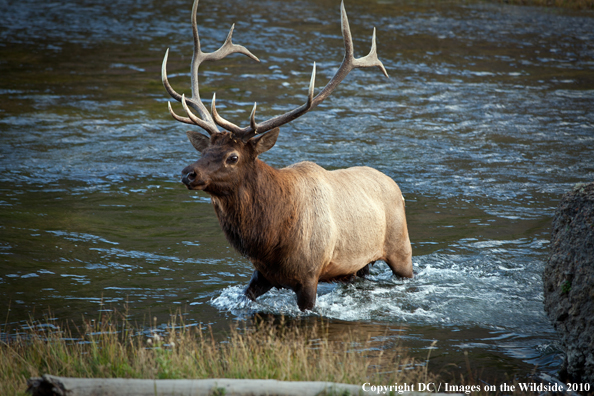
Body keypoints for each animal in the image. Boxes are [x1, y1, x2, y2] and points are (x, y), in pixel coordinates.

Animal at [162, 0, 412, 310]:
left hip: (401, 248)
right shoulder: (262, 274)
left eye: (233, 157)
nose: (188, 173)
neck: (270, 239)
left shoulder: (309, 276)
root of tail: (393, 184)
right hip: (356, 266)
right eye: (205, 149)